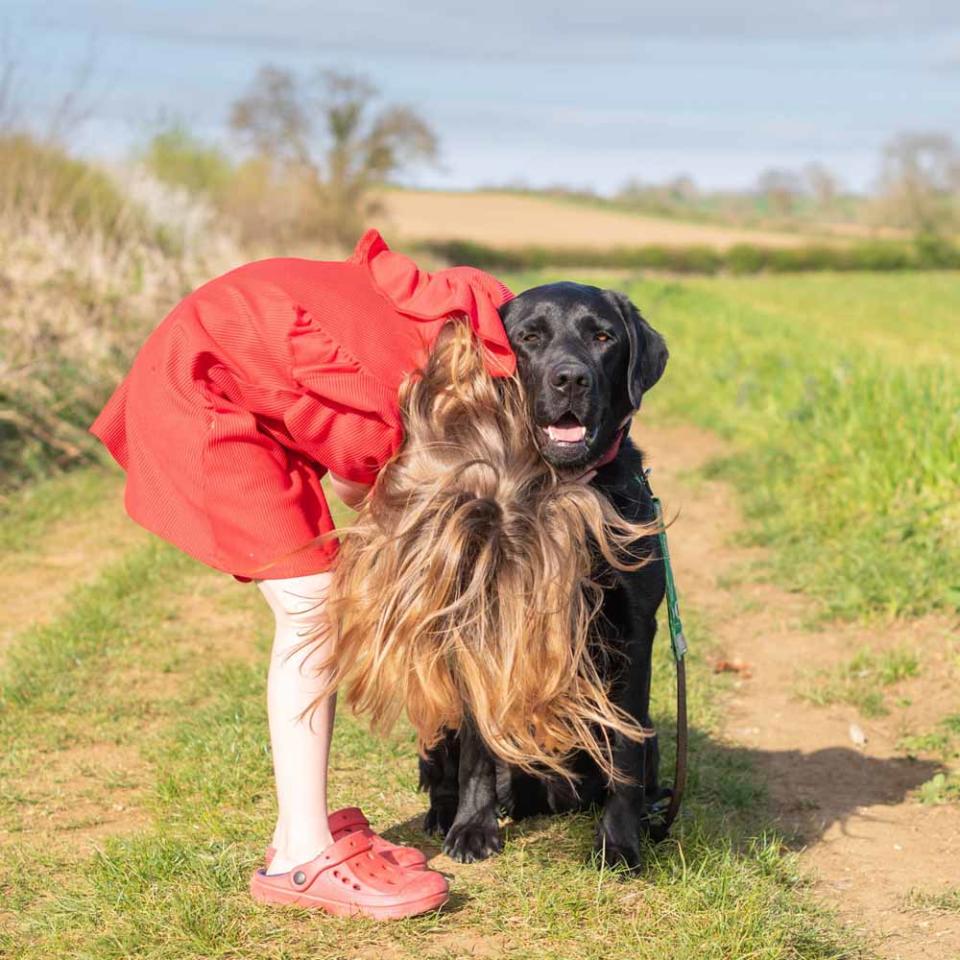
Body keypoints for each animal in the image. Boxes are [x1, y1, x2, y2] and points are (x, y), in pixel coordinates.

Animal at [416, 284, 672, 872]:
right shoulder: (481, 628)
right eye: (529, 337)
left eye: (603, 336)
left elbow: (623, 750)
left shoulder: (634, 633)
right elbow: (478, 751)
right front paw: (472, 828)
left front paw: (618, 842)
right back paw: (444, 812)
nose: (571, 378)